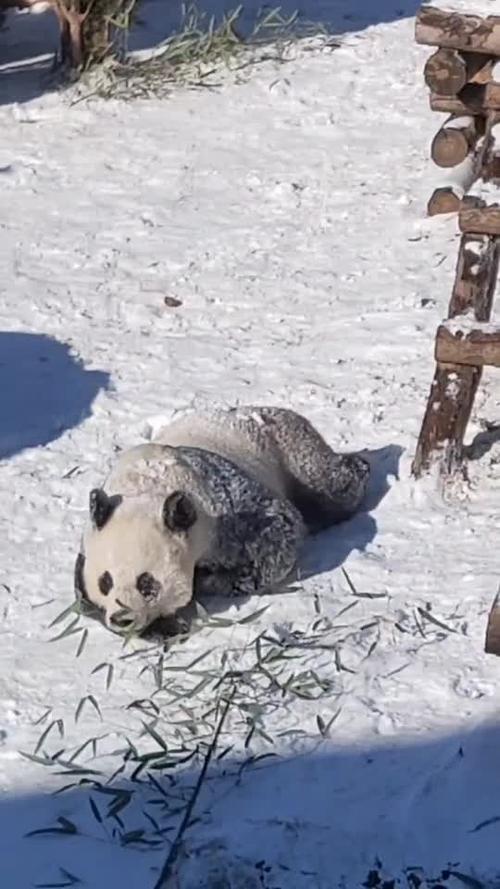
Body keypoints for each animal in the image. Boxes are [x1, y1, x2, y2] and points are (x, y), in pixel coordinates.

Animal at [74, 406, 370, 636]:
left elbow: (280, 533)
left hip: (291, 448)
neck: (148, 490)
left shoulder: (224, 507)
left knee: (331, 487)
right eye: (105, 582)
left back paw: (360, 466)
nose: (121, 618)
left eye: (147, 583)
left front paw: (211, 581)